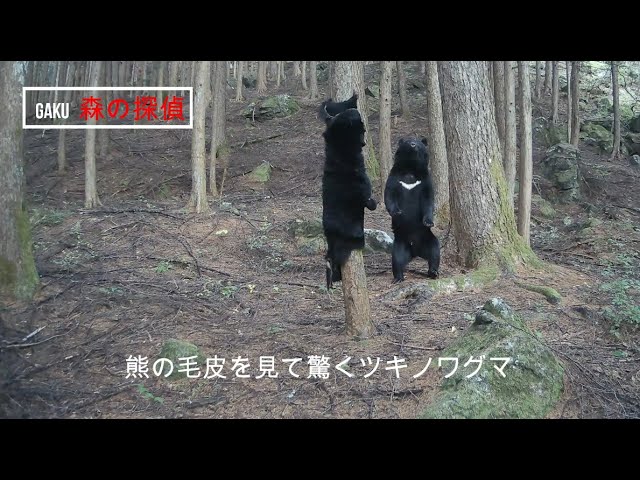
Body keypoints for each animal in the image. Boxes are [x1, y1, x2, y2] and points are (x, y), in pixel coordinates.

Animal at [321, 105, 377, 289]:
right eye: (362, 131)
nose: (364, 142)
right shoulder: (361, 182)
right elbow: (366, 197)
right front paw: (372, 202)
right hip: (350, 238)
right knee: (338, 255)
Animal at [384, 137, 440, 283]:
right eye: (408, 142)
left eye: (418, 142)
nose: (413, 145)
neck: (411, 167)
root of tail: (415, 252)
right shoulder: (395, 177)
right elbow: (389, 194)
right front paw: (397, 212)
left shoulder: (424, 180)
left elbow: (428, 199)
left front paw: (428, 221)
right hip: (399, 243)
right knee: (397, 259)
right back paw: (398, 277)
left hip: (428, 239)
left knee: (435, 252)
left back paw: (433, 272)